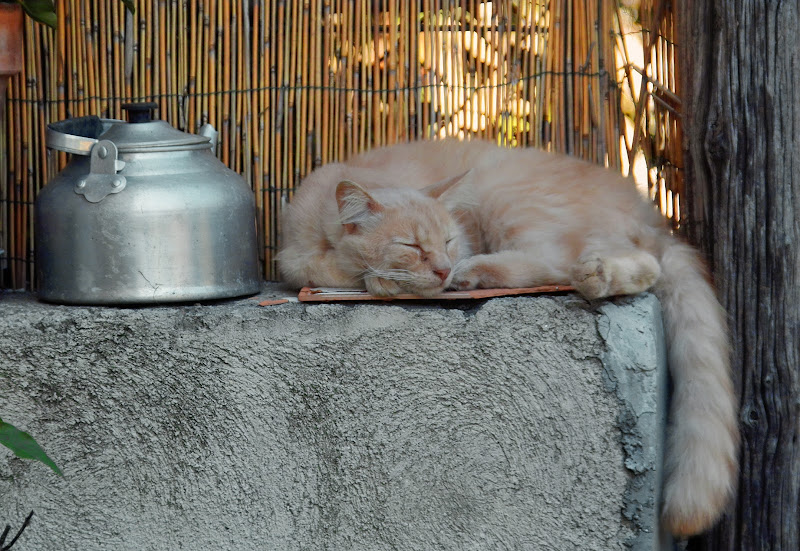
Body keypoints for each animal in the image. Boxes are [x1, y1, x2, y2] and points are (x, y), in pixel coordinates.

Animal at [278, 139, 740, 540]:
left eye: (447, 240)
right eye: (410, 245)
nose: (444, 268)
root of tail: (652, 216)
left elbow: (344, 269)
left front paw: (386, 280)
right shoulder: (295, 259)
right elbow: (321, 266)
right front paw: (378, 275)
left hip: (509, 199)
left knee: (562, 264)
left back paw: (499, 273)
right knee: (637, 267)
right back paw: (596, 275)